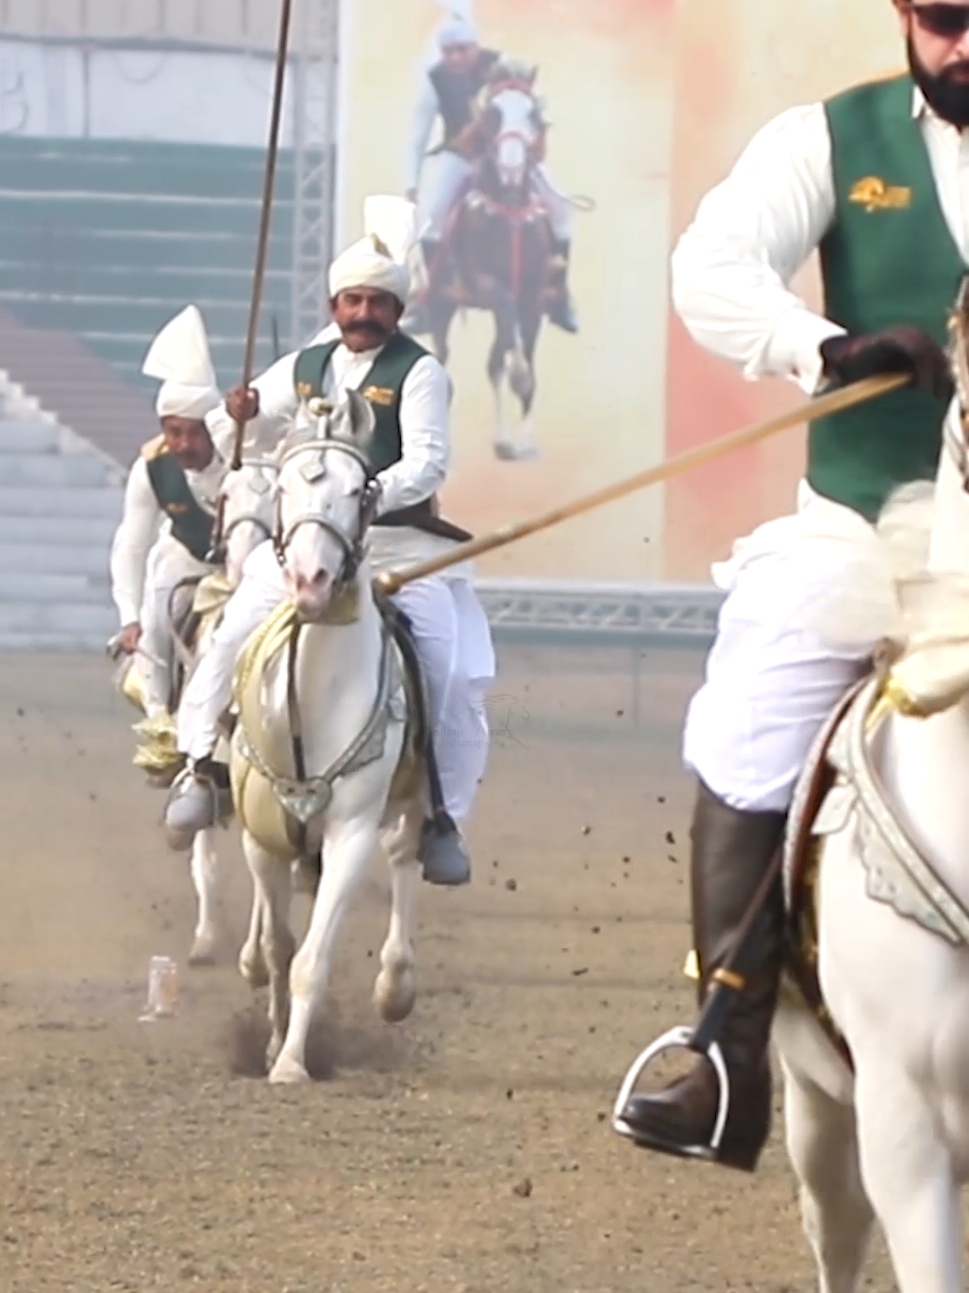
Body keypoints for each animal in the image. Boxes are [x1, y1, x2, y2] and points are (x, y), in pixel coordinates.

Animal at [228, 390, 424, 1080]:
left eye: (358, 489)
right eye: (285, 486)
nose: (310, 582)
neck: (312, 702)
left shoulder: (352, 831)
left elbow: (313, 957)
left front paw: (290, 1064)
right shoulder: (262, 834)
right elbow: (281, 945)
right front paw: (270, 1042)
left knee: (406, 856)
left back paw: (396, 987)